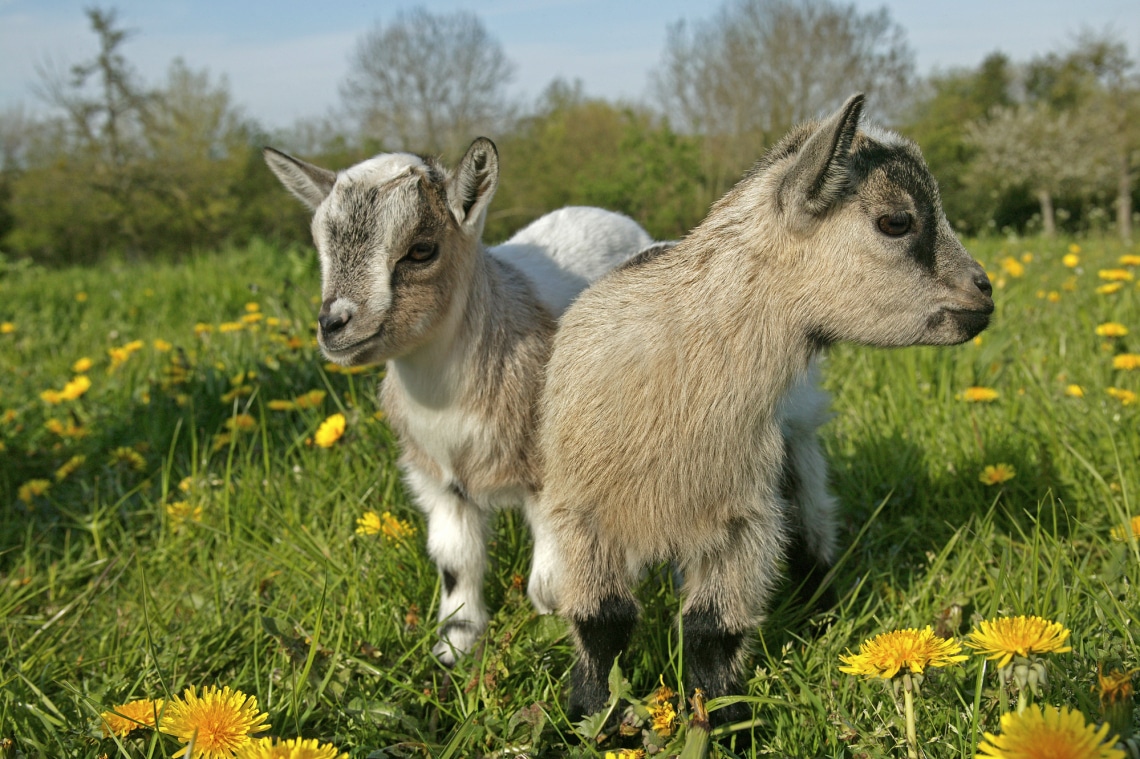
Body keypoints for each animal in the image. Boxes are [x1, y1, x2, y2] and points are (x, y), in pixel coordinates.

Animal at [261, 139, 652, 660]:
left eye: (421, 250)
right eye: (320, 247)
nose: (333, 325)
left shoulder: (549, 472)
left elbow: (547, 585)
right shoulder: (438, 479)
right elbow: (456, 562)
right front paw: (455, 646)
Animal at [533, 94, 989, 720]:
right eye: (897, 221)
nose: (986, 293)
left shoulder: (740, 517)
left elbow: (711, 630)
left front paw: (724, 717)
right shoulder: (582, 519)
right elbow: (602, 623)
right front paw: (589, 714)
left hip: (797, 446)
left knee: (811, 532)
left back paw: (822, 609)